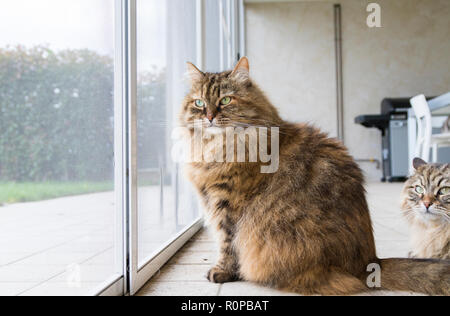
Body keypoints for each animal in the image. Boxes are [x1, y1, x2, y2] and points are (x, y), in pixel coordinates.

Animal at [180, 57, 450, 296]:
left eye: (225, 100)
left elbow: (227, 245)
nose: (209, 116)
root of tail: (370, 263)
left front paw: (222, 272)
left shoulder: (226, 206)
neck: (218, 149)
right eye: (199, 103)